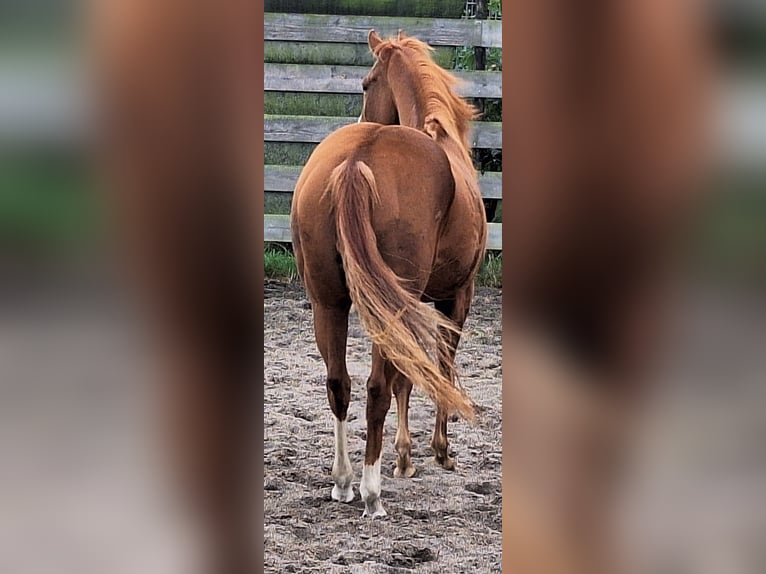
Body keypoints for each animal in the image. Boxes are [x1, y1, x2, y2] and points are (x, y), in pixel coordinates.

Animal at [292, 29, 488, 520]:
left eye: (366, 84)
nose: (363, 111)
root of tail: (356, 161)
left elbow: (408, 375)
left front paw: (405, 456)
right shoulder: (456, 298)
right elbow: (437, 367)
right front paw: (434, 452)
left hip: (328, 302)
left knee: (339, 384)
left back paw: (344, 482)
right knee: (377, 386)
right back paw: (371, 491)